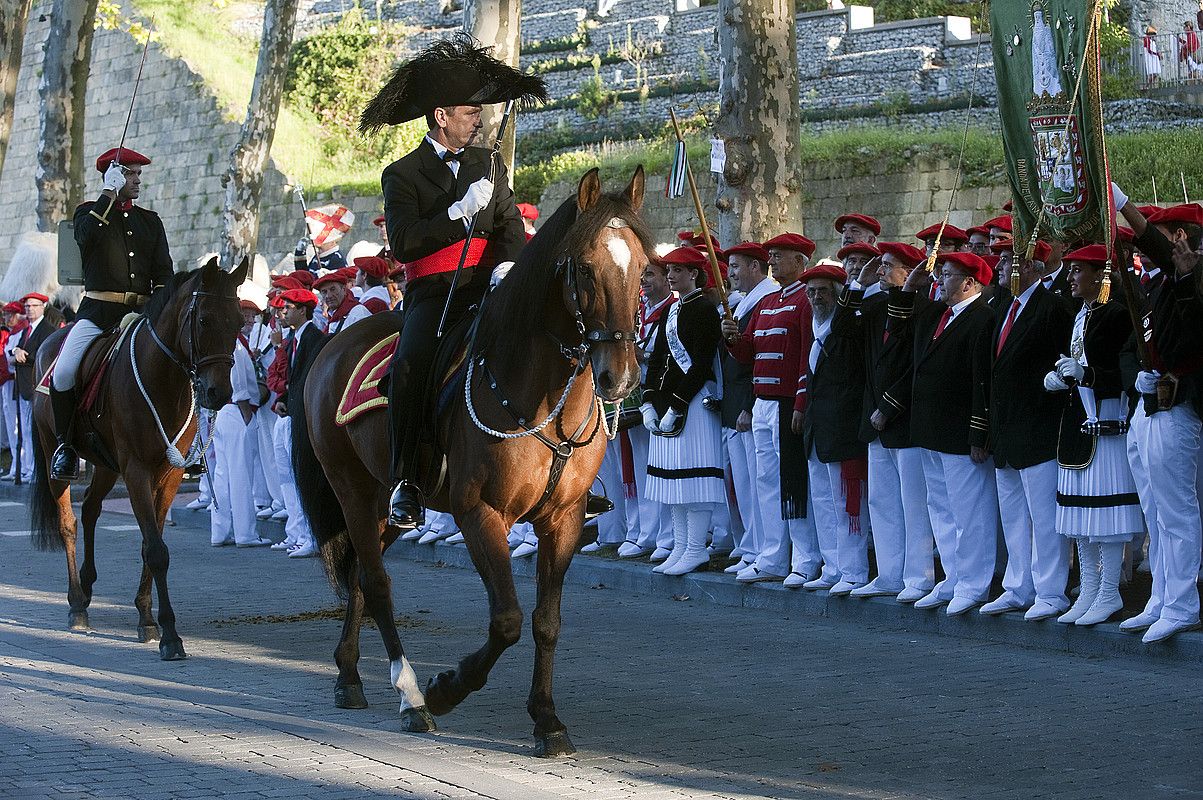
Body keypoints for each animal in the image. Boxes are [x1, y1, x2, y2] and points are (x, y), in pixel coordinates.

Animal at [29, 258, 249, 659]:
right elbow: (156, 550)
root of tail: (49, 342)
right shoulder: (136, 472)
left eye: (240, 322)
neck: (163, 381)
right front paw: (169, 634)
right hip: (59, 458)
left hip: (104, 464)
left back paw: (87, 587)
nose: (219, 392)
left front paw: (147, 617)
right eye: (204, 320)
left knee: (91, 509)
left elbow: (152, 542)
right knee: (69, 523)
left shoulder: (168, 476)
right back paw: (75, 603)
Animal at [291, 168, 649, 755]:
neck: (543, 395)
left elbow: (546, 621)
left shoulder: (565, 519)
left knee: (363, 578)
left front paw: (547, 719)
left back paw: (348, 675)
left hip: (385, 504)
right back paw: (410, 694)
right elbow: (506, 619)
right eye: (584, 267)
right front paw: (445, 689)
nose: (619, 375)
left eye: (643, 267)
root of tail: (333, 343)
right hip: (354, 493)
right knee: (377, 583)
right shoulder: (481, 513)